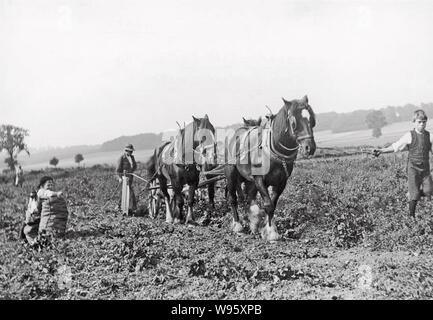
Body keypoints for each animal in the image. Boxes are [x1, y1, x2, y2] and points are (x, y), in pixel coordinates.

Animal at [224, 95, 316, 240]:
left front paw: (267, 228)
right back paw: (237, 225)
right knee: (233, 199)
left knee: (248, 198)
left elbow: (273, 204)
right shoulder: (259, 179)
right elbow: (268, 204)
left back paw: (253, 224)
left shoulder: (281, 182)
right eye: (294, 122)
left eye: (311, 120)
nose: (310, 148)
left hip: (249, 181)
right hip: (231, 174)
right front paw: (271, 232)